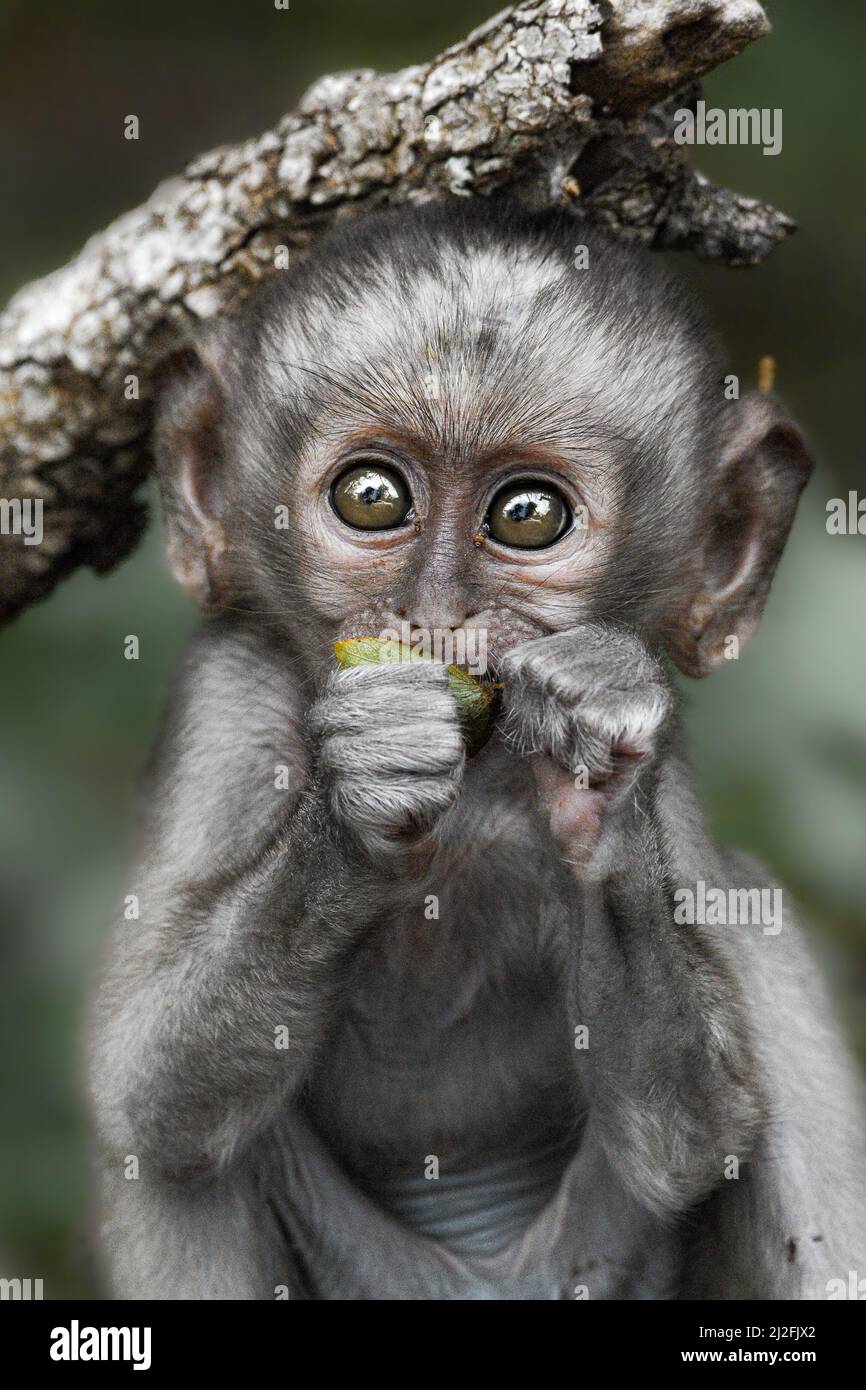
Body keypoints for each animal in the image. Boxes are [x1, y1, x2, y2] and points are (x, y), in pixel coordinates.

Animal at [88, 201, 866, 1295]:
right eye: (371, 496)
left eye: (527, 516)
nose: (434, 615)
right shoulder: (227, 698)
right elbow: (142, 1081)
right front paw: (366, 788)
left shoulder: (665, 739)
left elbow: (692, 1139)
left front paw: (594, 772)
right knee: (172, 1153)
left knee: (757, 920)